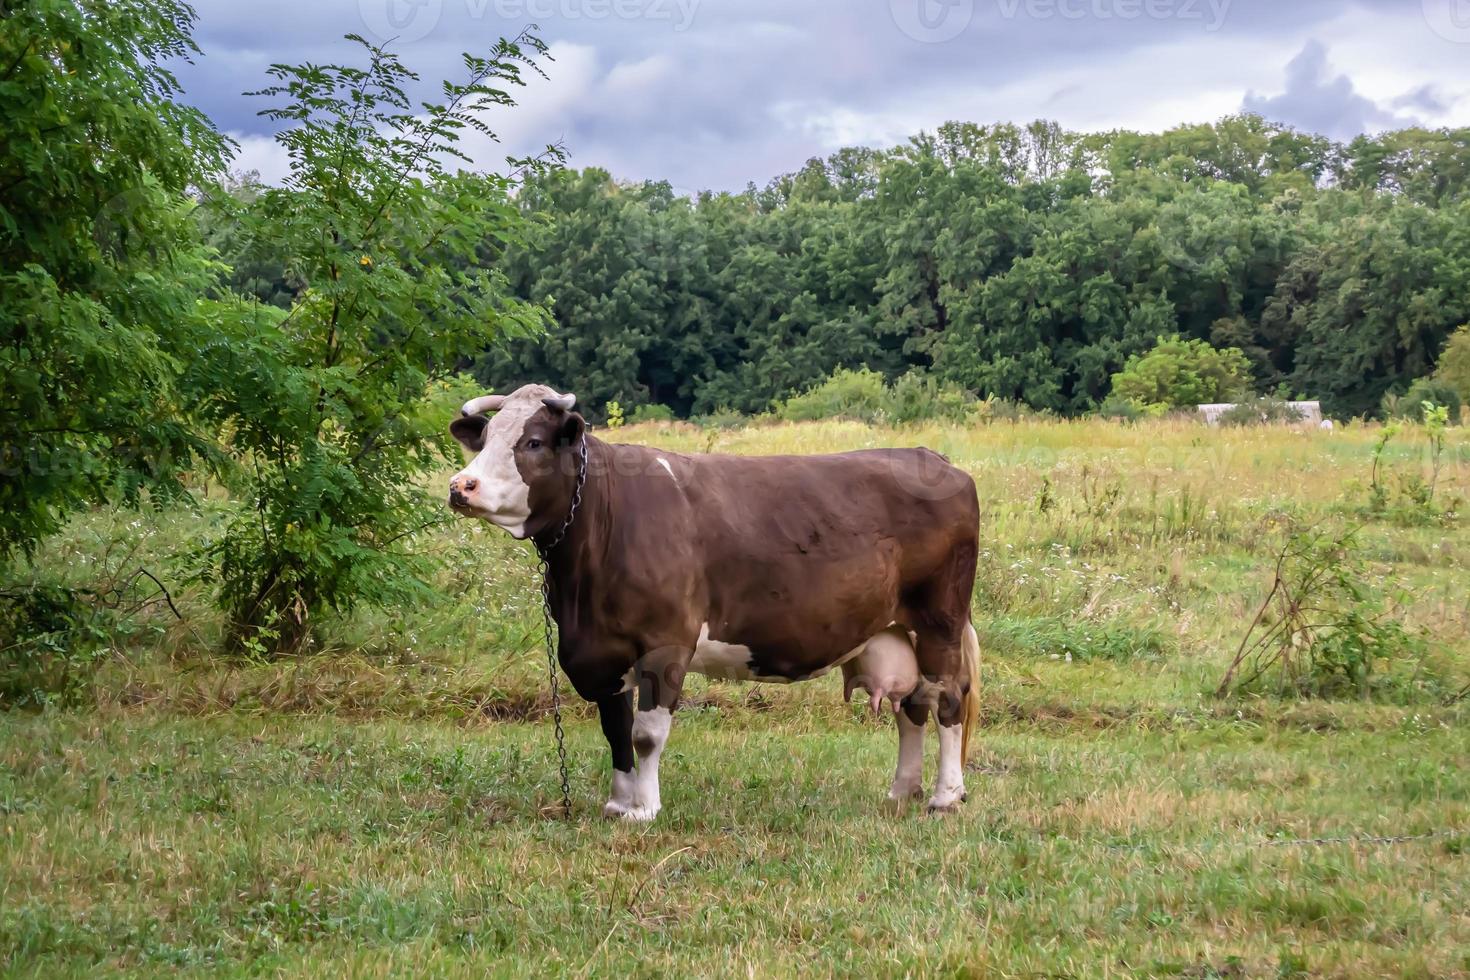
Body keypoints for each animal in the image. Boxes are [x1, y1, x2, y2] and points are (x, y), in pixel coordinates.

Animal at [443, 382, 976, 822]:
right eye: (485, 439)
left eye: (532, 442)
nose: (460, 486)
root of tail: (935, 459)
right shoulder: (601, 650)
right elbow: (615, 729)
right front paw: (618, 804)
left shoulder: (665, 641)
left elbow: (645, 733)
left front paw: (643, 810)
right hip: (895, 629)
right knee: (912, 706)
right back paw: (902, 791)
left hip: (939, 622)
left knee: (947, 698)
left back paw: (945, 796)